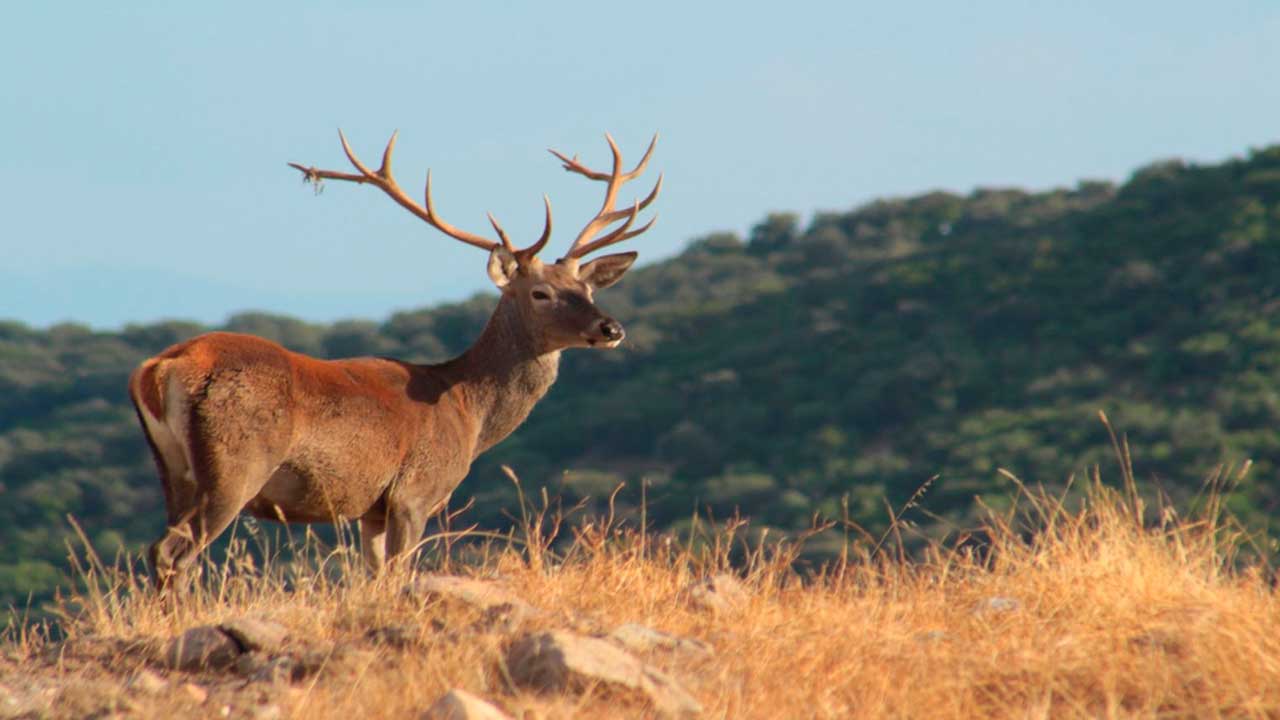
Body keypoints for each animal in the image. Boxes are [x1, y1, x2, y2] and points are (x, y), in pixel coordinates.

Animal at [128, 130, 661, 590]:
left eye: (587, 289)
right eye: (540, 292)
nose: (611, 329)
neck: (467, 411)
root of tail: (161, 368)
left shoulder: (372, 508)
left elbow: (373, 578)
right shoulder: (414, 492)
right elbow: (399, 575)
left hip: (172, 469)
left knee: (161, 549)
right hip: (235, 464)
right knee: (174, 552)